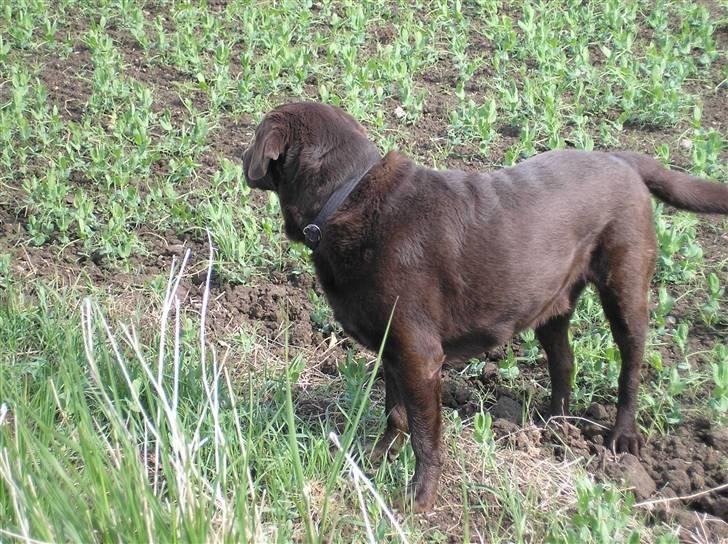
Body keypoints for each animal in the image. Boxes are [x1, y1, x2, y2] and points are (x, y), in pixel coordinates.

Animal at [243, 103, 728, 516]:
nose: (241, 153)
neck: (346, 197)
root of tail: (620, 159)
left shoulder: (419, 355)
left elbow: (425, 435)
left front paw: (419, 500)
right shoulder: (392, 350)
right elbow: (395, 413)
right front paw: (375, 460)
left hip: (624, 286)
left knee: (630, 364)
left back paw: (623, 438)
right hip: (551, 301)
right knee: (564, 360)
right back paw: (553, 426)